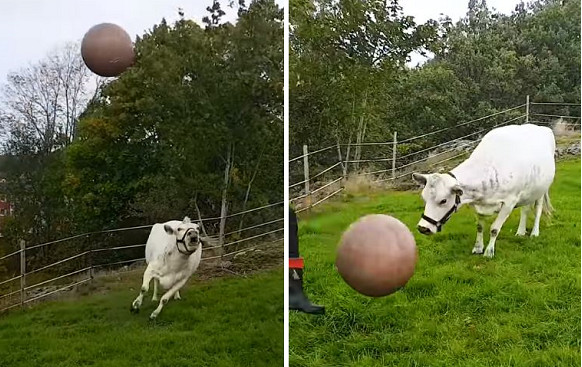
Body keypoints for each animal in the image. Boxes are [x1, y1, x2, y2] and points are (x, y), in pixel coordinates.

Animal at [412, 123, 560, 258]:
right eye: (424, 198)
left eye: (443, 200)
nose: (422, 228)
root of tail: (541, 127)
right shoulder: (477, 204)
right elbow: (479, 227)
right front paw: (478, 248)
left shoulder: (509, 202)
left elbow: (494, 229)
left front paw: (489, 251)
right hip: (529, 191)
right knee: (525, 209)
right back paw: (521, 232)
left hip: (541, 189)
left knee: (538, 209)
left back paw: (534, 232)